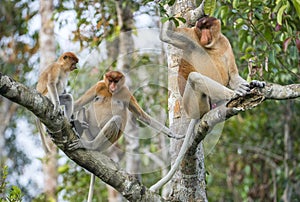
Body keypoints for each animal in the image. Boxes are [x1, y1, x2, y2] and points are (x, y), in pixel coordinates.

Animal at [67, 70, 179, 201]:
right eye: (110, 80)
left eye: (116, 81)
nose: (112, 86)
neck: (111, 92)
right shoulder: (99, 85)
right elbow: (78, 104)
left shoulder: (126, 92)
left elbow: (141, 116)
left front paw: (173, 134)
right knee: (83, 109)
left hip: (106, 143)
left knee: (117, 119)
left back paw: (90, 145)